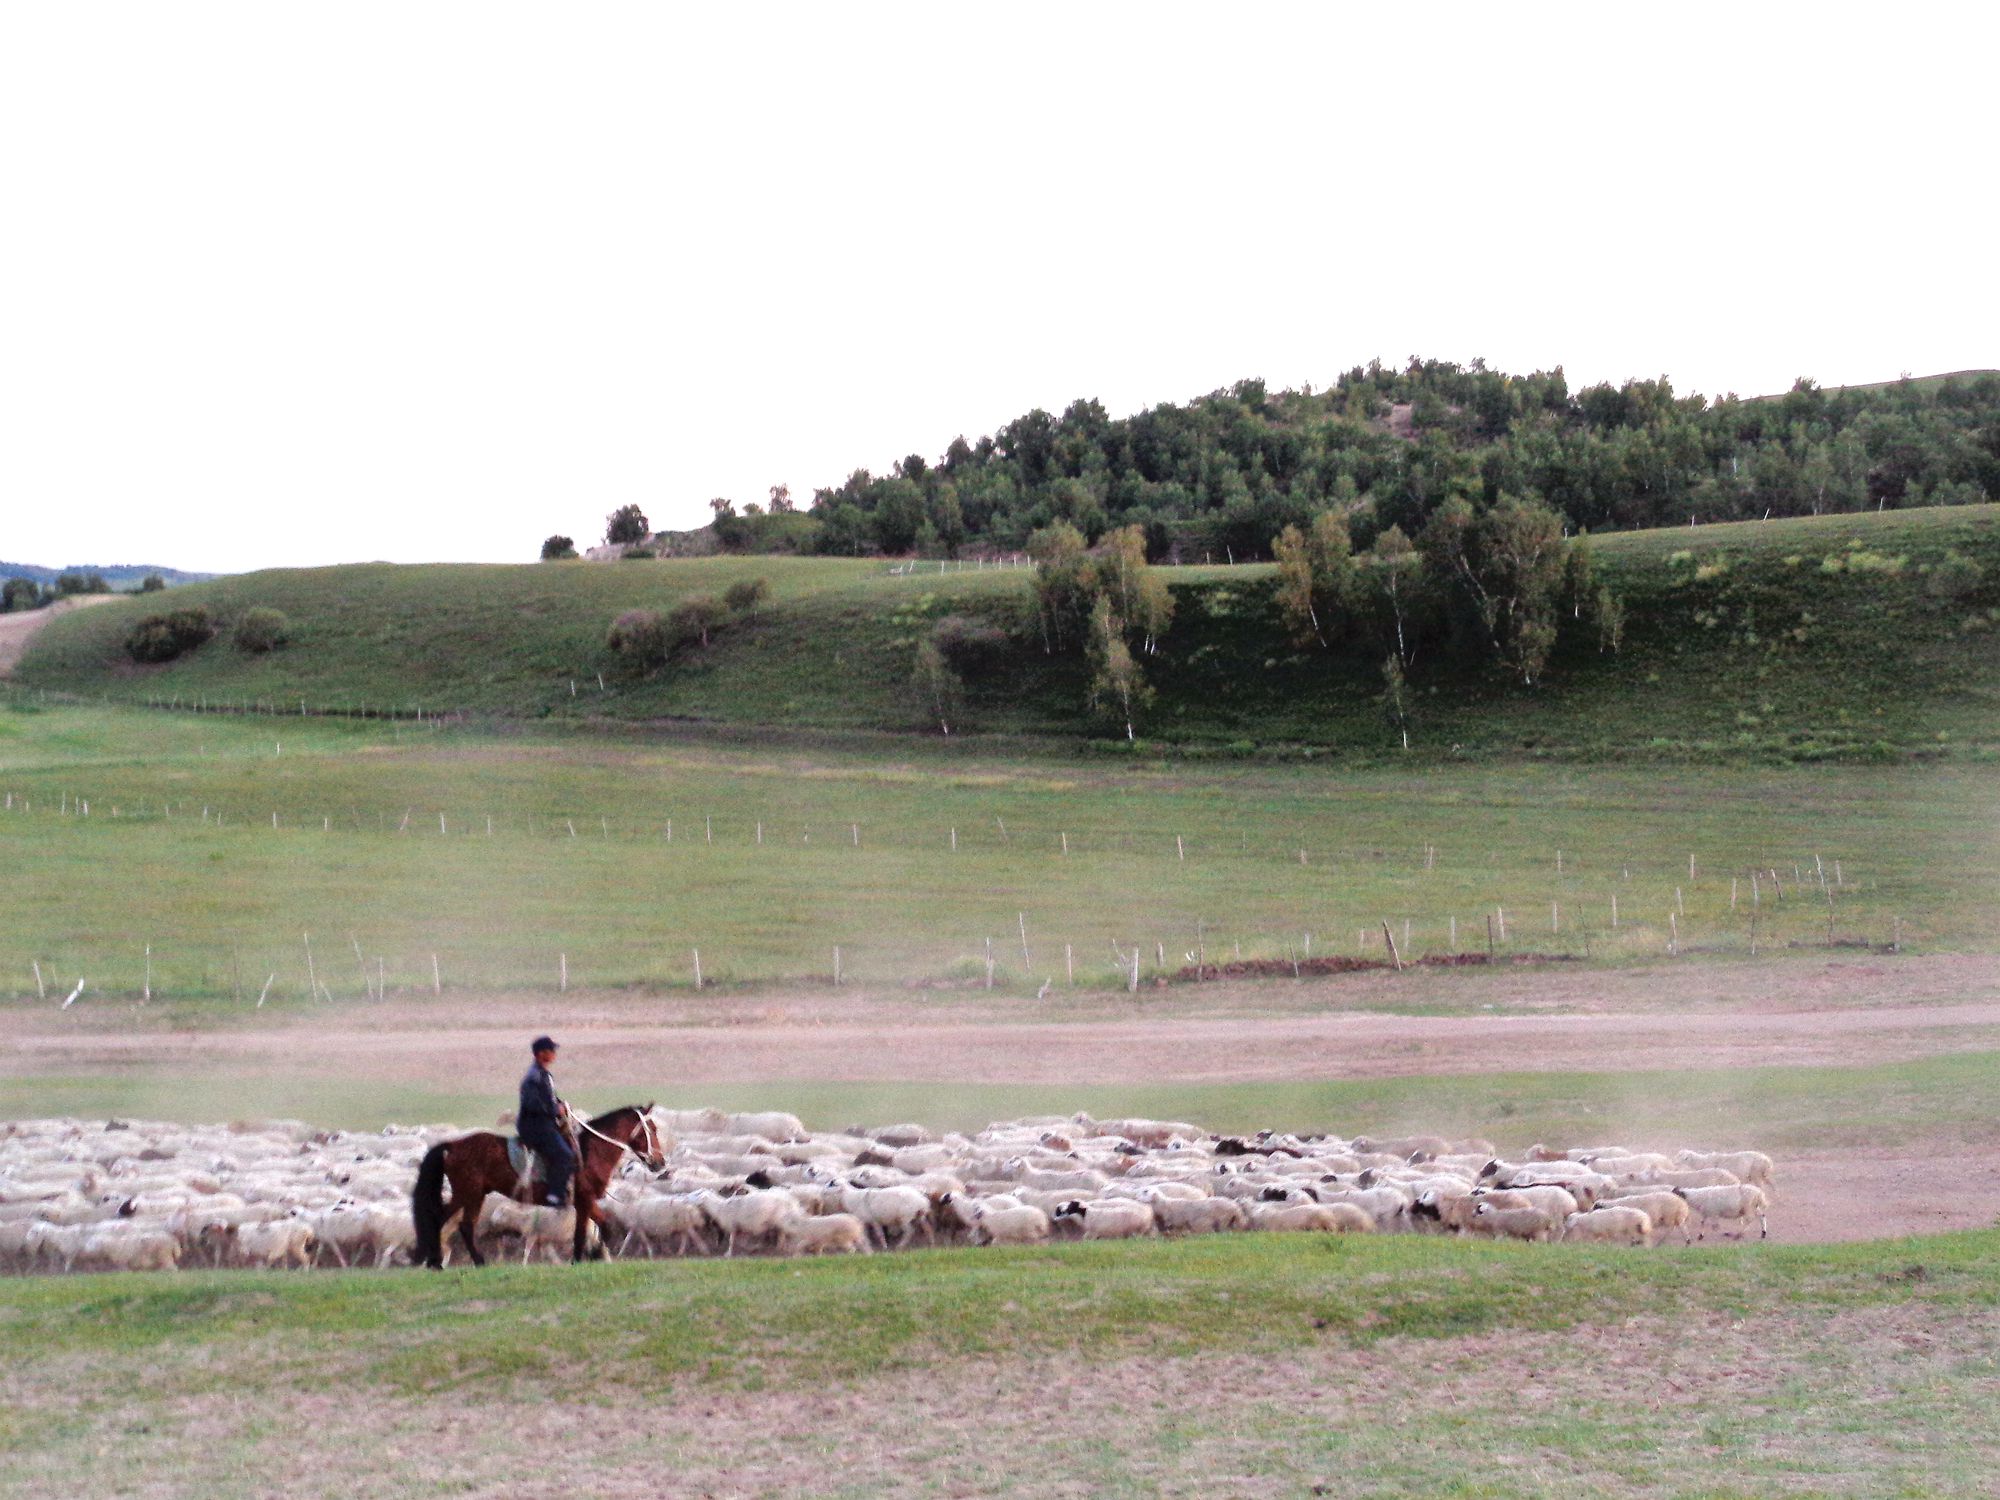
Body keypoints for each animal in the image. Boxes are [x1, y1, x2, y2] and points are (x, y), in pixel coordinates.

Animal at [410, 1104, 668, 1272]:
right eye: (652, 1129)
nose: (660, 1162)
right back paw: (446, 1261)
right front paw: (589, 1256)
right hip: (468, 1193)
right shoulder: (584, 1198)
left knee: (460, 1224)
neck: (590, 1151)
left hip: (474, 1194)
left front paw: (585, 1256)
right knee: (447, 1221)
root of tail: (452, 1145)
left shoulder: (583, 1202)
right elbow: (594, 1229)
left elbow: (592, 1229)